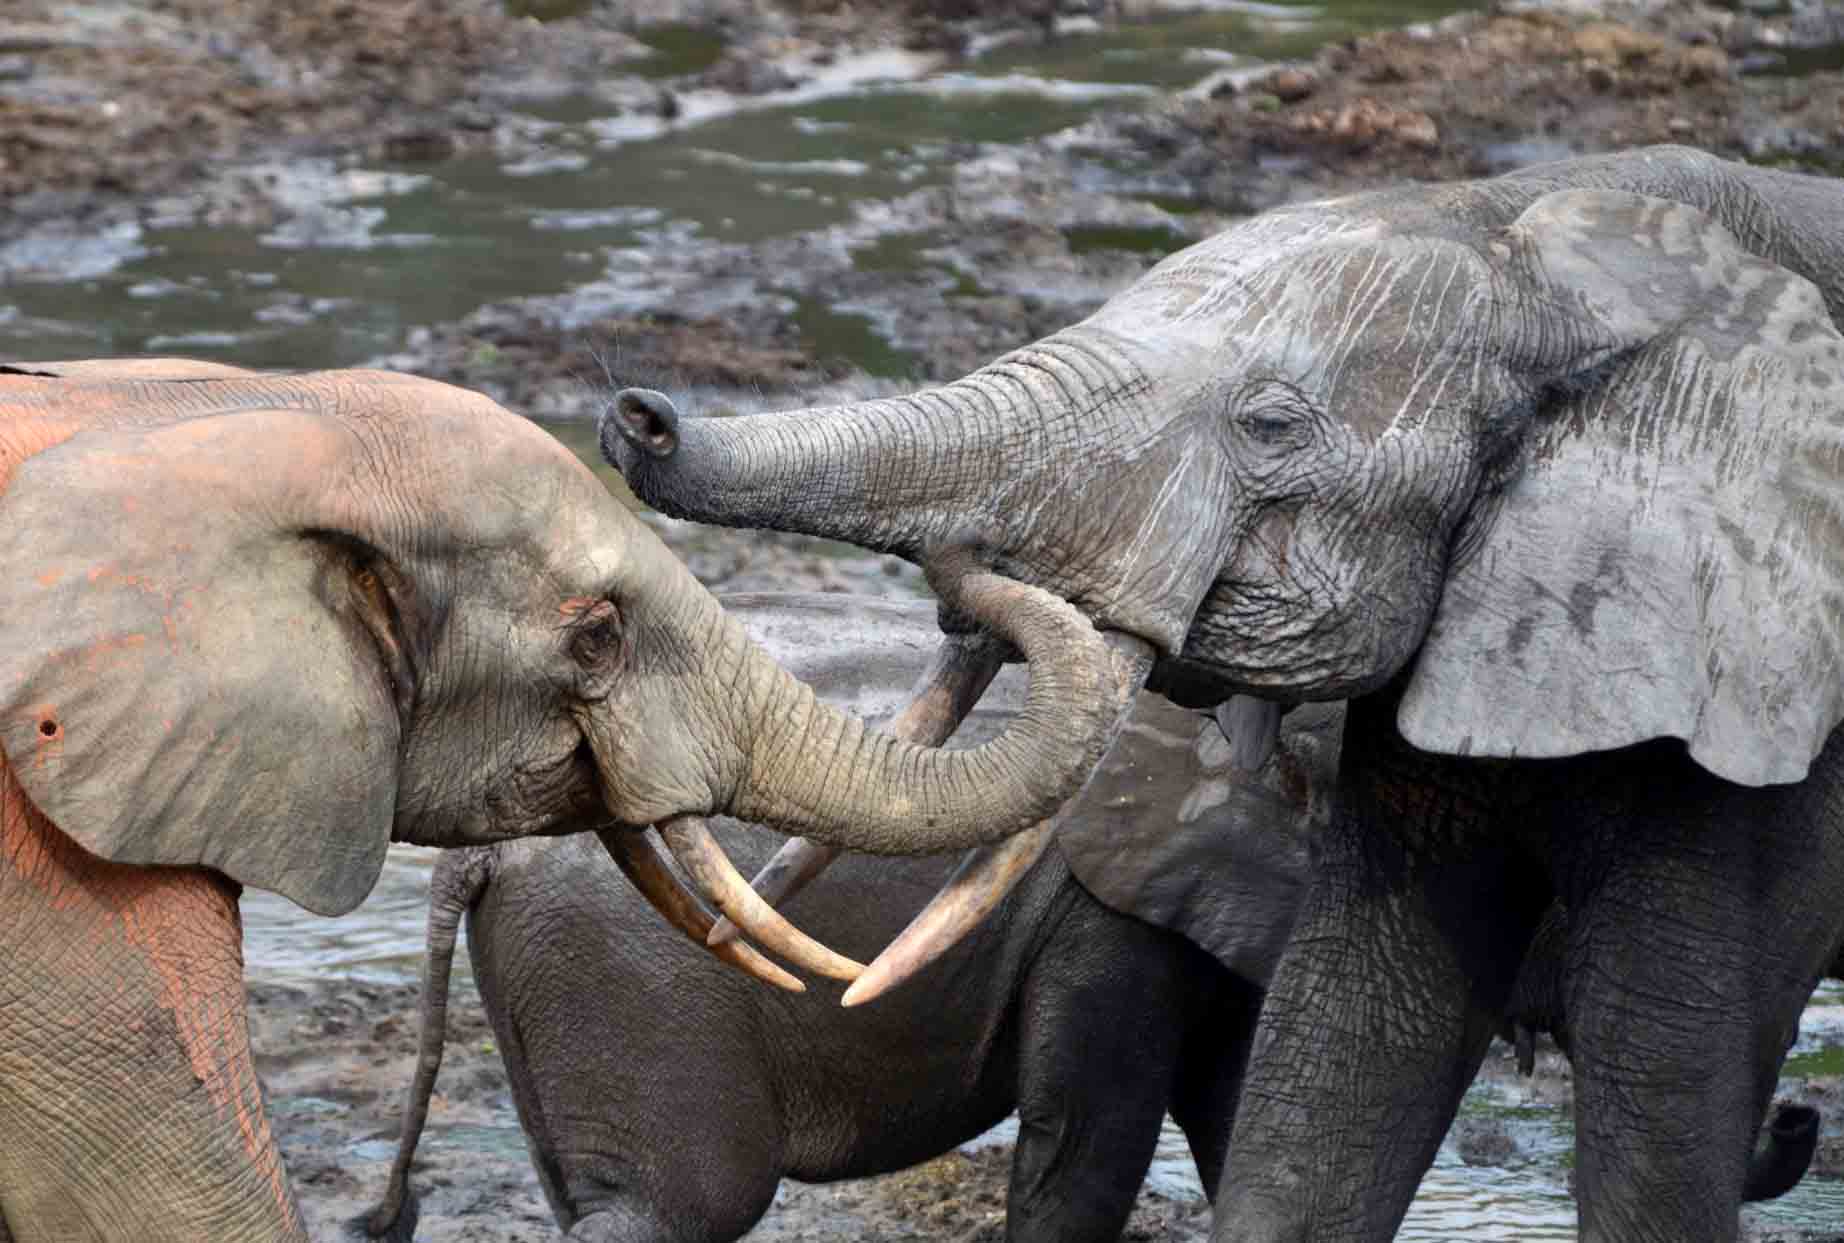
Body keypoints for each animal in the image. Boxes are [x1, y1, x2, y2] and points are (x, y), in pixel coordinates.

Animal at [366, 594, 1819, 1242]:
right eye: (1548, 877)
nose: (1806, 1113)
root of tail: (472, 865)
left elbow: (1232, 1116)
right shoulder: (1099, 915)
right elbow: (1091, 1141)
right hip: (630, 983)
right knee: (672, 1209)